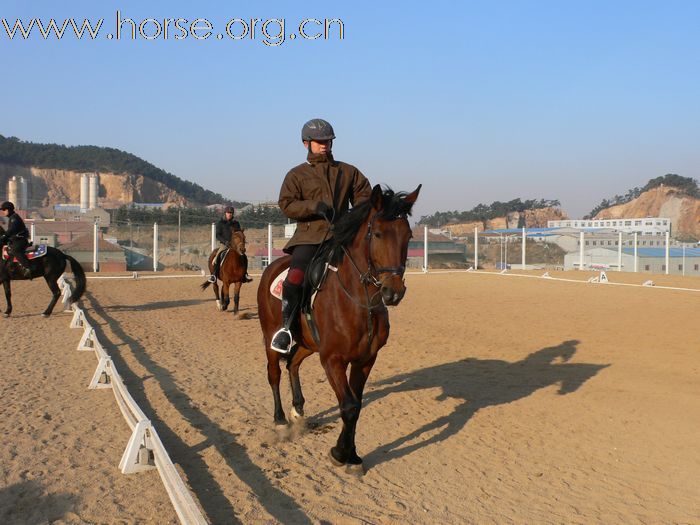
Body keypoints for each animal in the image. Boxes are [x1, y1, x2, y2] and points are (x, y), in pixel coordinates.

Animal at [258, 184, 418, 470]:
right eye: (378, 234)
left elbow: (357, 404)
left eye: (408, 235)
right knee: (274, 373)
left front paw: (351, 455)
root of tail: (271, 267)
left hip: (308, 343)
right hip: (270, 337)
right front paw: (340, 453)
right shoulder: (333, 359)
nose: (393, 293)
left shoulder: (365, 359)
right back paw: (280, 420)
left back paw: (298, 409)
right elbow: (349, 406)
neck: (360, 301)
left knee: (292, 364)